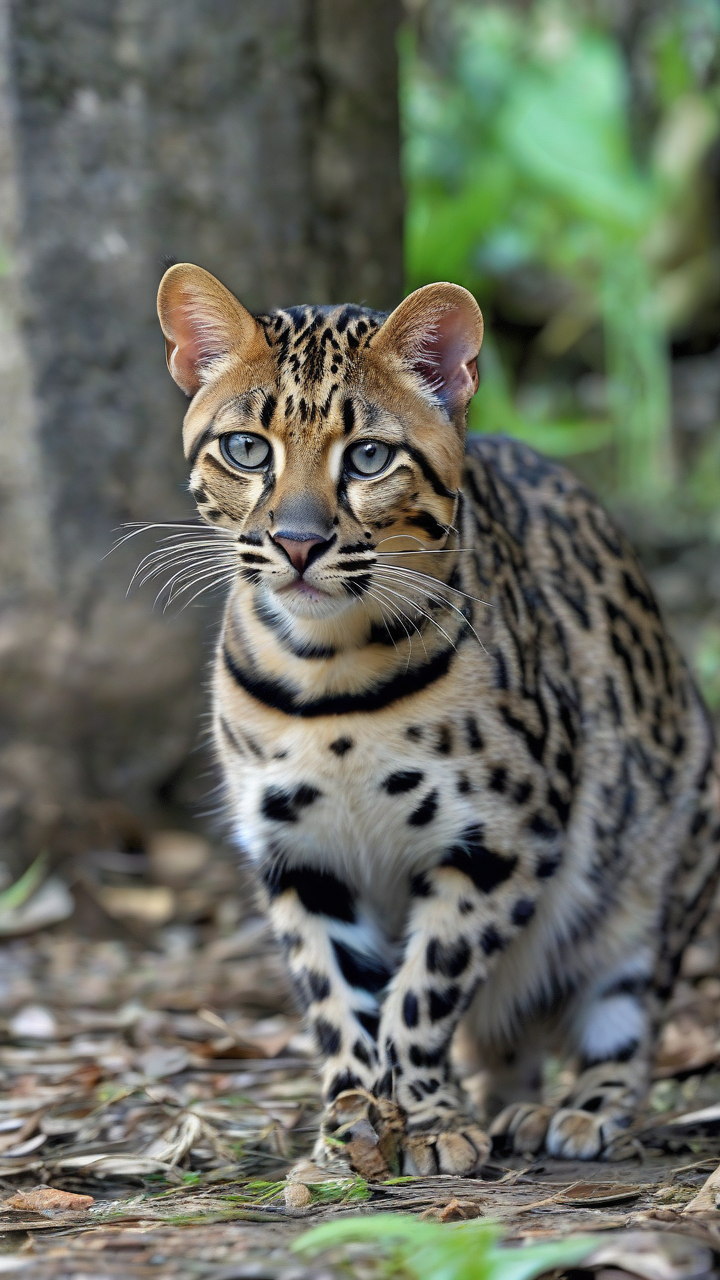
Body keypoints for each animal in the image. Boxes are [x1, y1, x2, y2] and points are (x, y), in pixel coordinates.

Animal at [155, 261, 720, 1176]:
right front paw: (352, 1120)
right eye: (247, 449)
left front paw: (421, 1119)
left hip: (655, 878)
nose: (299, 543)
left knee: (628, 1016)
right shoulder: (299, 855)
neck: (328, 674)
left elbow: (424, 990)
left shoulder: (505, 838)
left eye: (368, 457)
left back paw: (580, 1113)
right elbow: (337, 995)